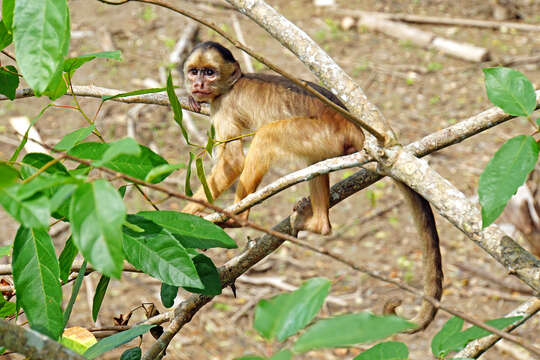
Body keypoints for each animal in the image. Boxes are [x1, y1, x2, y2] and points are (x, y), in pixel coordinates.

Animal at [181, 40, 442, 330]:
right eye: (194, 72)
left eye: (209, 72)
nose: (198, 84)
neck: (232, 85)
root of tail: (356, 129)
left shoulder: (223, 105)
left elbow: (232, 162)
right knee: (313, 162)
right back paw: (318, 224)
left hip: (326, 133)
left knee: (267, 136)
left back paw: (240, 216)